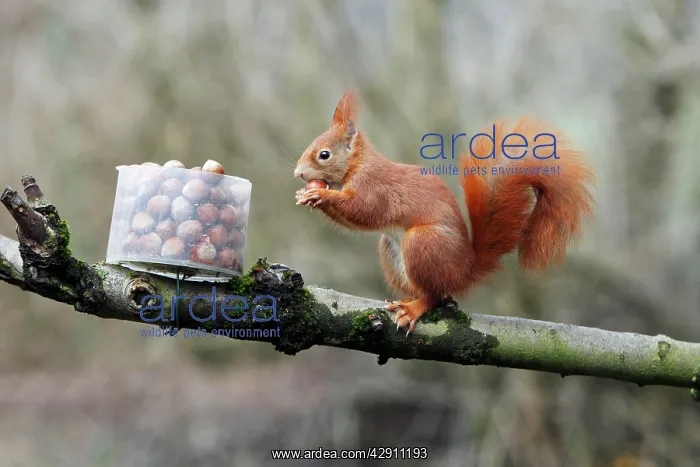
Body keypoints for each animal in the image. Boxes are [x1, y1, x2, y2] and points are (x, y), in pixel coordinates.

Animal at [294, 89, 596, 335]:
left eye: (324, 155)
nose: (298, 173)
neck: (356, 165)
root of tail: (465, 270)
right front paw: (306, 195)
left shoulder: (374, 186)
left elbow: (364, 211)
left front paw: (320, 195)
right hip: (391, 249)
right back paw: (405, 300)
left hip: (423, 243)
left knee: (434, 295)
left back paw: (413, 308)